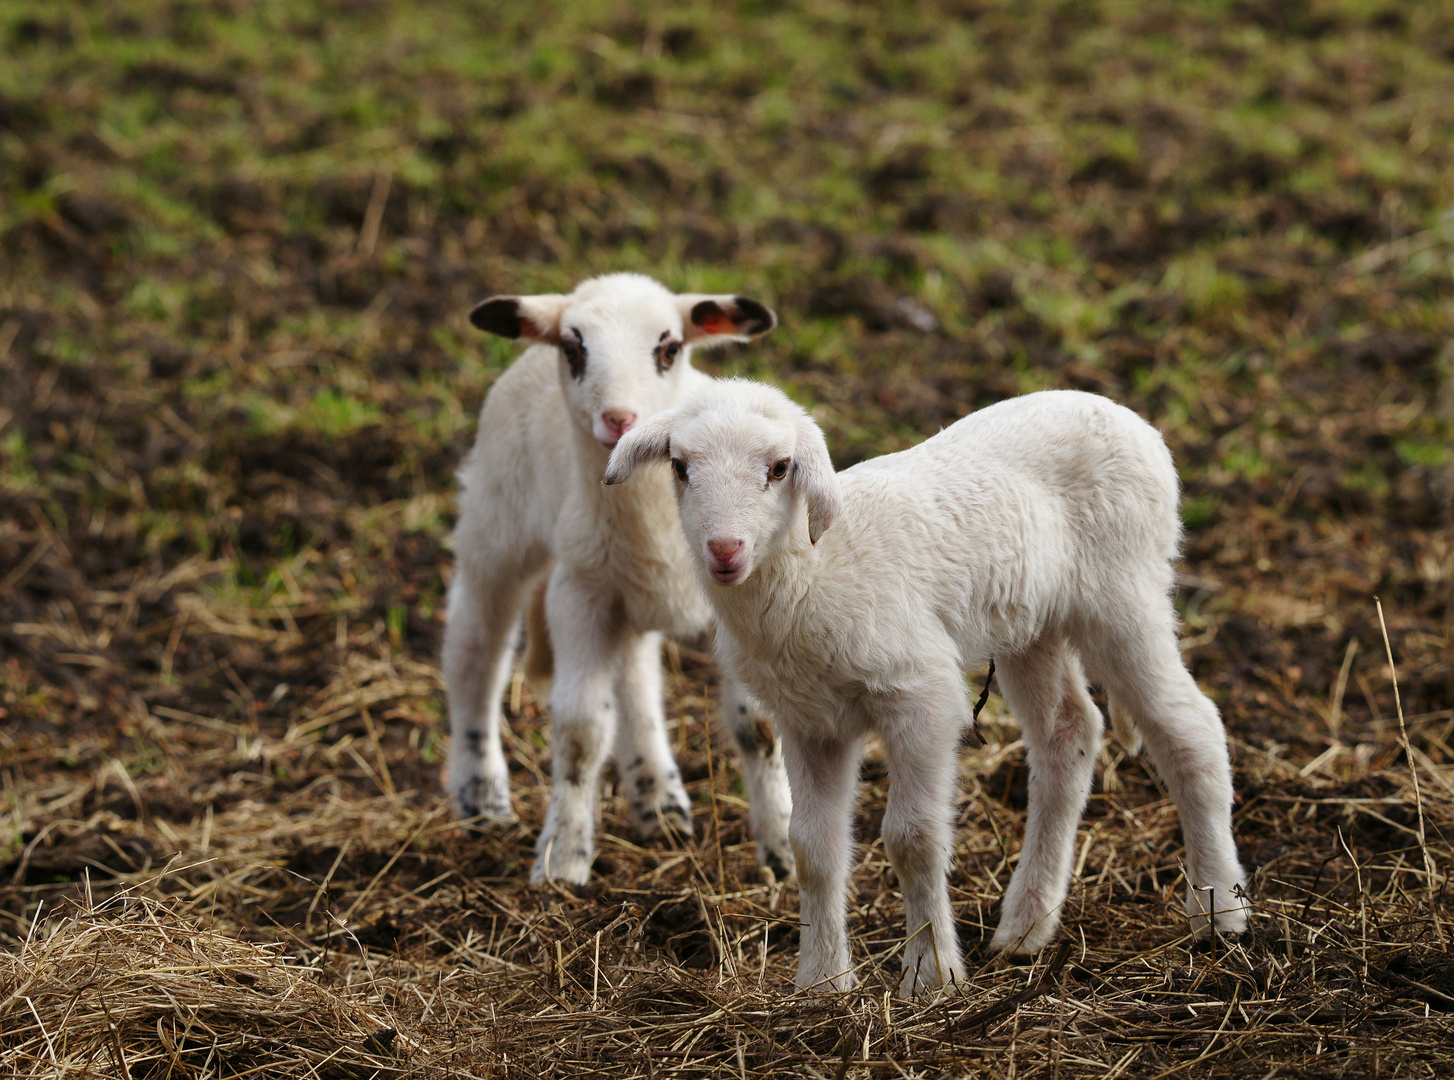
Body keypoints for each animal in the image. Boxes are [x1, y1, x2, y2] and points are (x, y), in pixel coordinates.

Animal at [444, 276, 796, 889]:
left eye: (669, 347)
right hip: (497, 524)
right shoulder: (579, 594)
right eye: (572, 348)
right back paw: (481, 796)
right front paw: (561, 861)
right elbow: (581, 732)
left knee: (634, 677)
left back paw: (659, 801)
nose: (620, 419)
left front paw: (780, 855)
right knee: (474, 651)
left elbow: (759, 726)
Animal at [601, 383, 1250, 1000]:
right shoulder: (809, 721)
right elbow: (813, 849)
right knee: (1069, 732)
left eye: (781, 467)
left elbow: (912, 839)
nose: (724, 550)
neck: (814, 570)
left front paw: (930, 976)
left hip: (1125, 591)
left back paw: (1219, 910)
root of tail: (1130, 419)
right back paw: (1026, 925)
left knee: (1190, 726)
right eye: (680, 466)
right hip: (1029, 625)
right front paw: (821, 982)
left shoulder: (920, 694)